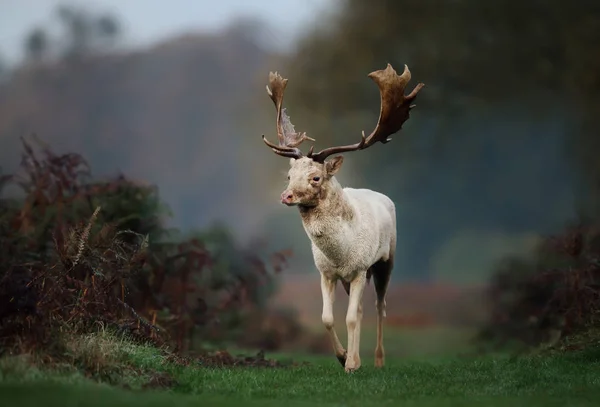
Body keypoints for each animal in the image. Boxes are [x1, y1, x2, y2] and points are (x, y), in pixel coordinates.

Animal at [260, 63, 424, 372]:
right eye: (289, 175)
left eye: (316, 177)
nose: (286, 196)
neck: (341, 254)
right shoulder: (326, 273)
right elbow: (328, 318)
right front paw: (342, 356)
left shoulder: (359, 268)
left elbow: (349, 317)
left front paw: (350, 363)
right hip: (354, 278)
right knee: (359, 310)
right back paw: (356, 357)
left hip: (386, 260)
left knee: (379, 307)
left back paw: (378, 360)